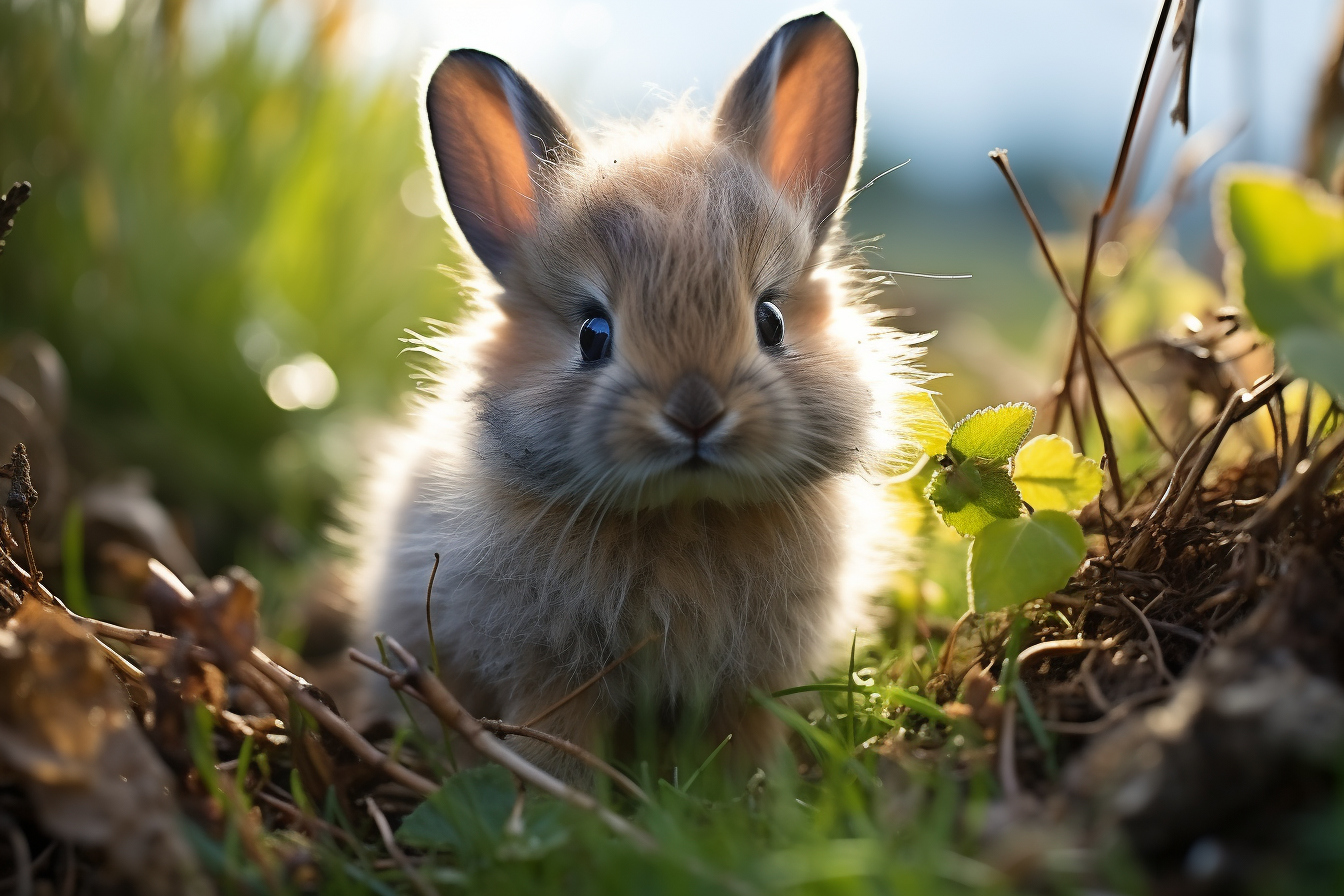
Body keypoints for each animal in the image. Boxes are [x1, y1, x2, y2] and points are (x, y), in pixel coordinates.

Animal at [352, 10, 930, 779]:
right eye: (593, 334)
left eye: (770, 321)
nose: (695, 413)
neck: (683, 512)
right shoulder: (550, 675)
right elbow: (558, 738)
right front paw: (564, 801)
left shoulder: (750, 684)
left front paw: (746, 792)